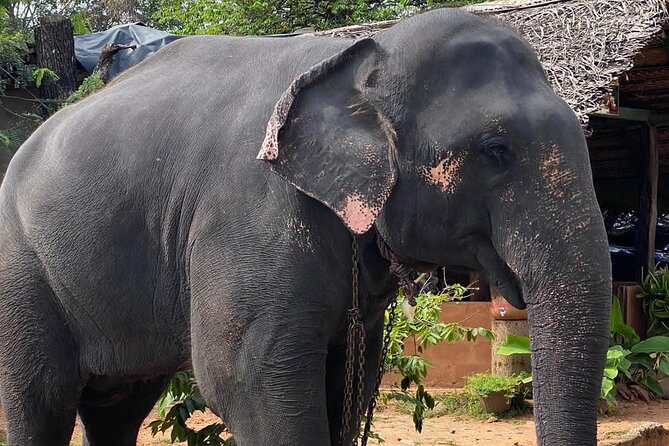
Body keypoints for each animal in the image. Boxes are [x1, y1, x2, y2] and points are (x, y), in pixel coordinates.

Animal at [0, 7, 611, 446]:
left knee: (116, 406)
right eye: (495, 149)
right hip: (20, 272)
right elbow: (245, 379)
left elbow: (348, 383)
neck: (357, 56)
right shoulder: (251, 212)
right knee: (42, 400)